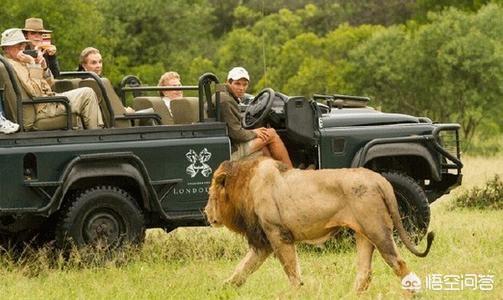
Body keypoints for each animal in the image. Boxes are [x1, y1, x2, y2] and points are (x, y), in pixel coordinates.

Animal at [205, 158, 434, 292]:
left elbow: (291, 270)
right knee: (364, 273)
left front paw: (298, 292)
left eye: (210, 193)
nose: (206, 213)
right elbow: (242, 269)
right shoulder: (264, 241)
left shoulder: (278, 234)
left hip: (377, 230)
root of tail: (381, 180)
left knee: (399, 264)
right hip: (364, 234)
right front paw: (222, 289)